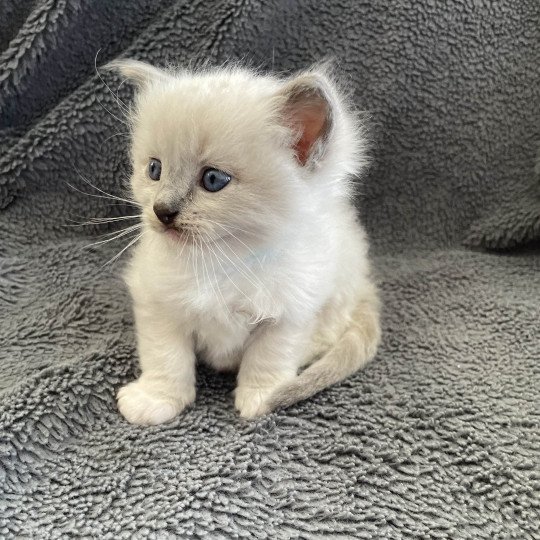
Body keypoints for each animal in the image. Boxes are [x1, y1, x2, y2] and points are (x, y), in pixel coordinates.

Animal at [109, 58, 380, 422]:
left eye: (213, 179)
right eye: (154, 170)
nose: (162, 210)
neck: (223, 259)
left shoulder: (290, 312)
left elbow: (268, 358)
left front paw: (261, 398)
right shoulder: (159, 305)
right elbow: (166, 358)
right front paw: (156, 400)